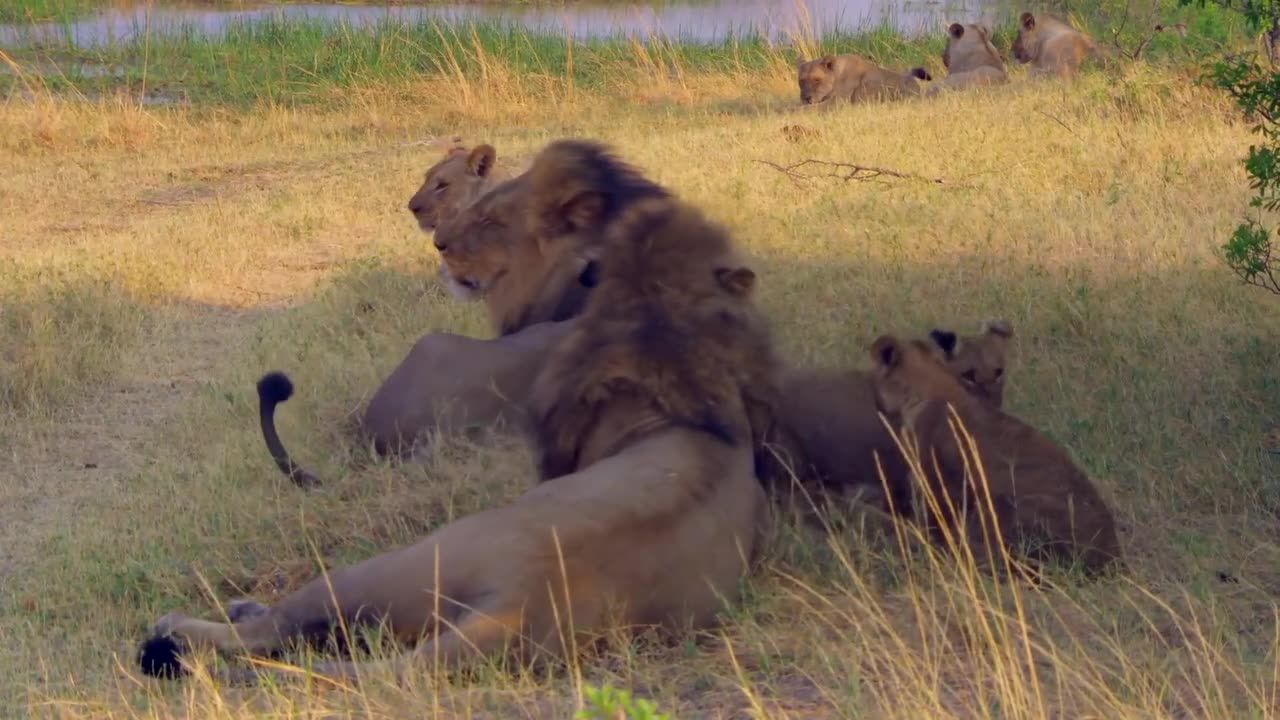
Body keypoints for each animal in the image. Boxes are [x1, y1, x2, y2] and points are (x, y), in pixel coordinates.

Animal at [137, 152, 778, 681]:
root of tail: (520, 603)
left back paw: (186, 624)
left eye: (493, 221)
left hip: (390, 561)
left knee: (271, 629)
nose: (441, 240)